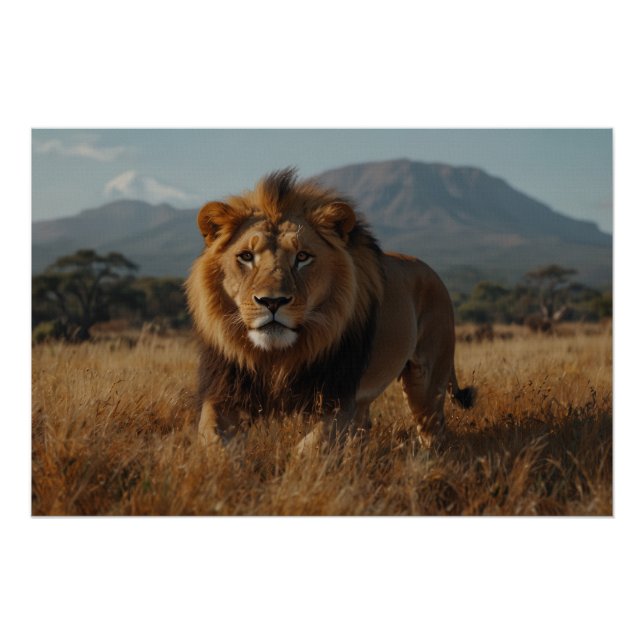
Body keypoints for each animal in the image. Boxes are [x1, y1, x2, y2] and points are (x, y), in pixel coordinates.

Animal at [186, 168, 475, 448]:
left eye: (302, 257)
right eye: (246, 256)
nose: (272, 302)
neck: (277, 357)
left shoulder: (337, 398)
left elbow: (311, 447)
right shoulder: (224, 391)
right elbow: (212, 438)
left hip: (426, 380)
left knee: (433, 430)